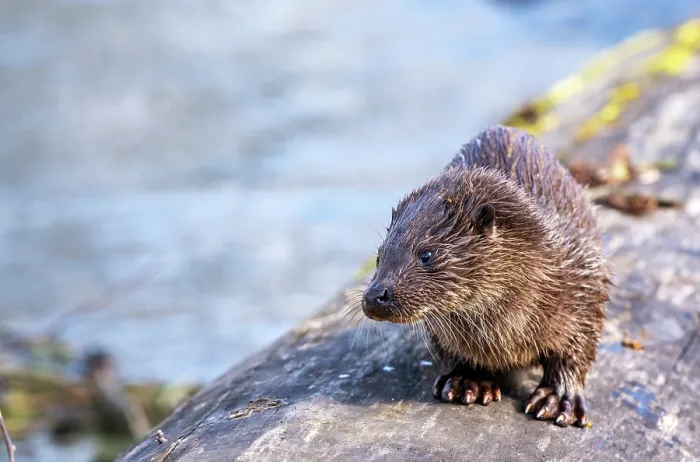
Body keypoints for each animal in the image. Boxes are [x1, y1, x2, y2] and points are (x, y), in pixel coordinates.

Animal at [362, 125, 611, 428]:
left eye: (427, 254)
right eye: (379, 255)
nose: (375, 295)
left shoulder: (584, 280)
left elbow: (578, 348)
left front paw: (559, 398)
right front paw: (469, 380)